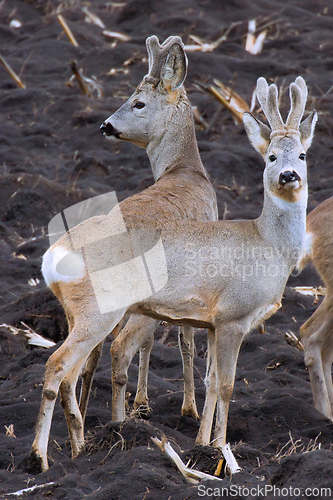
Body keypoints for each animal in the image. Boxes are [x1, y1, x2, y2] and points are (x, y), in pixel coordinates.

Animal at [29, 75, 316, 472]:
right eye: (271, 156)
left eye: (302, 155)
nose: (289, 176)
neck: (266, 243)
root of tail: (52, 256)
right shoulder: (233, 316)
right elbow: (227, 385)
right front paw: (223, 454)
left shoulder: (212, 322)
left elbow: (211, 380)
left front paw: (202, 444)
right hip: (98, 311)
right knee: (58, 365)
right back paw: (40, 457)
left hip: (78, 313)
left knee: (72, 372)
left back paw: (78, 448)